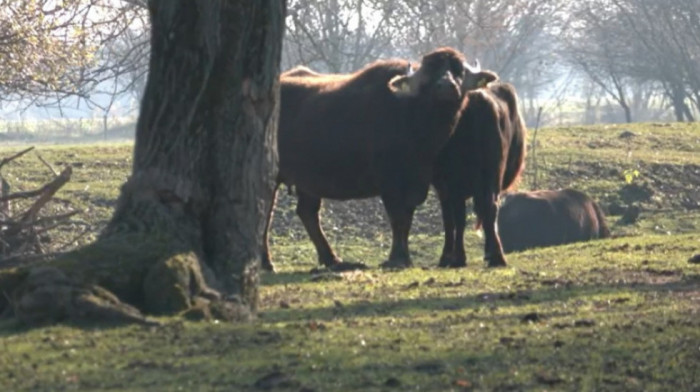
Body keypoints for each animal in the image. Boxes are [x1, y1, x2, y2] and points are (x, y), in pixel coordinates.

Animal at [262, 47, 498, 272]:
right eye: (430, 72)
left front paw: (404, 256)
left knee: (307, 212)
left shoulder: (415, 182)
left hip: (308, 181)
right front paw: (397, 258)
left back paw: (332, 259)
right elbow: (397, 219)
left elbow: (407, 220)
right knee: (267, 213)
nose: (446, 86)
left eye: (458, 70)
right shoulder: (390, 183)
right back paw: (267, 262)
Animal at [432, 81, 524, 268]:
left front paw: (447, 256)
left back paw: (461, 257)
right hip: (493, 173)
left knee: (462, 215)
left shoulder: (444, 186)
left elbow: (450, 219)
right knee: (490, 207)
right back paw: (496, 256)